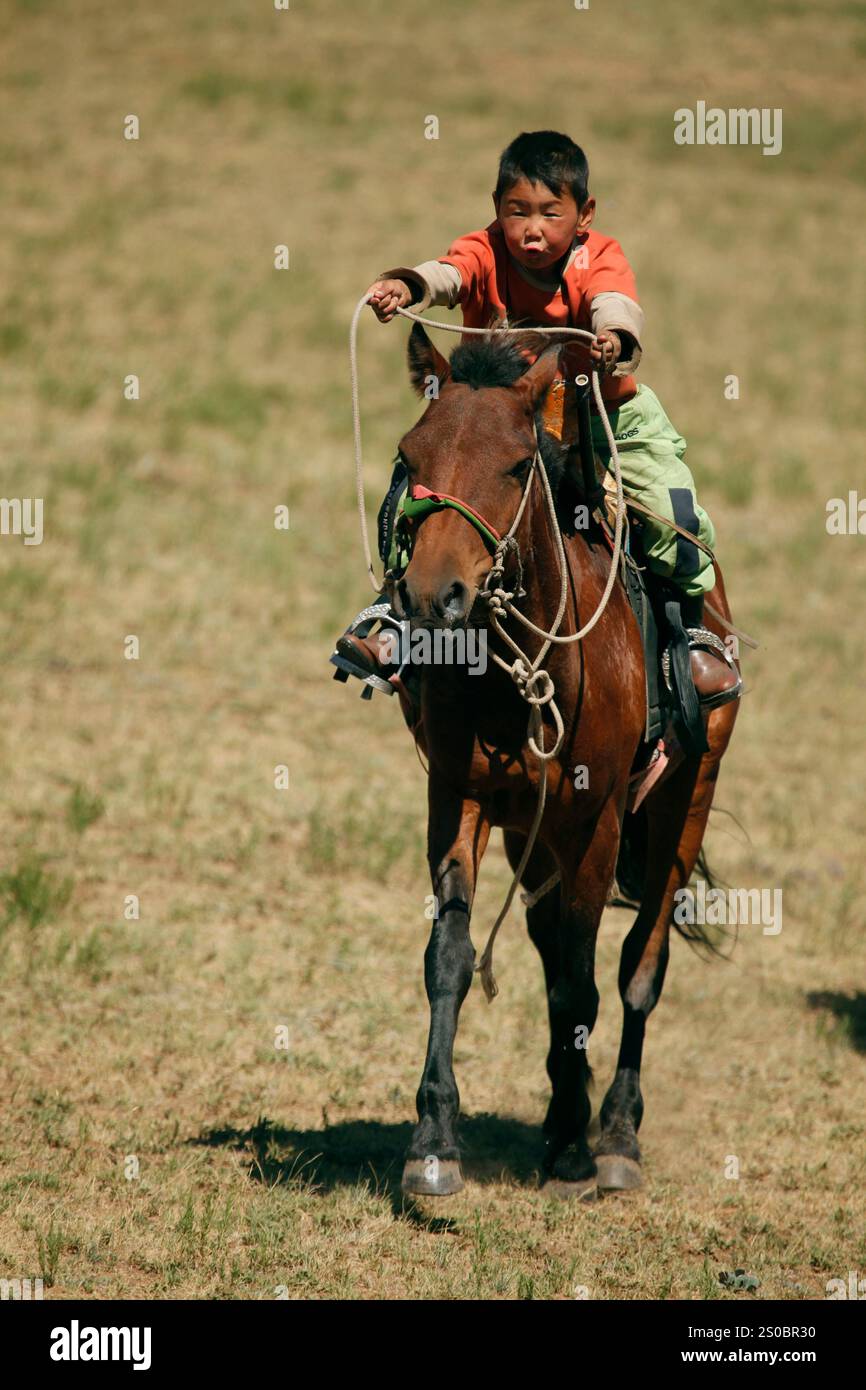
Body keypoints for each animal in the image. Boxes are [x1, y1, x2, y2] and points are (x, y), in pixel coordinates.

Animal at [386, 319, 739, 1200]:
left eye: (517, 465)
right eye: (410, 455)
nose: (432, 595)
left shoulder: (599, 821)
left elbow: (585, 979)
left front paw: (581, 1149)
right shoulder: (460, 797)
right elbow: (452, 958)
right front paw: (433, 1143)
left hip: (686, 796)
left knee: (639, 963)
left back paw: (613, 1134)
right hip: (531, 829)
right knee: (549, 947)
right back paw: (558, 1117)